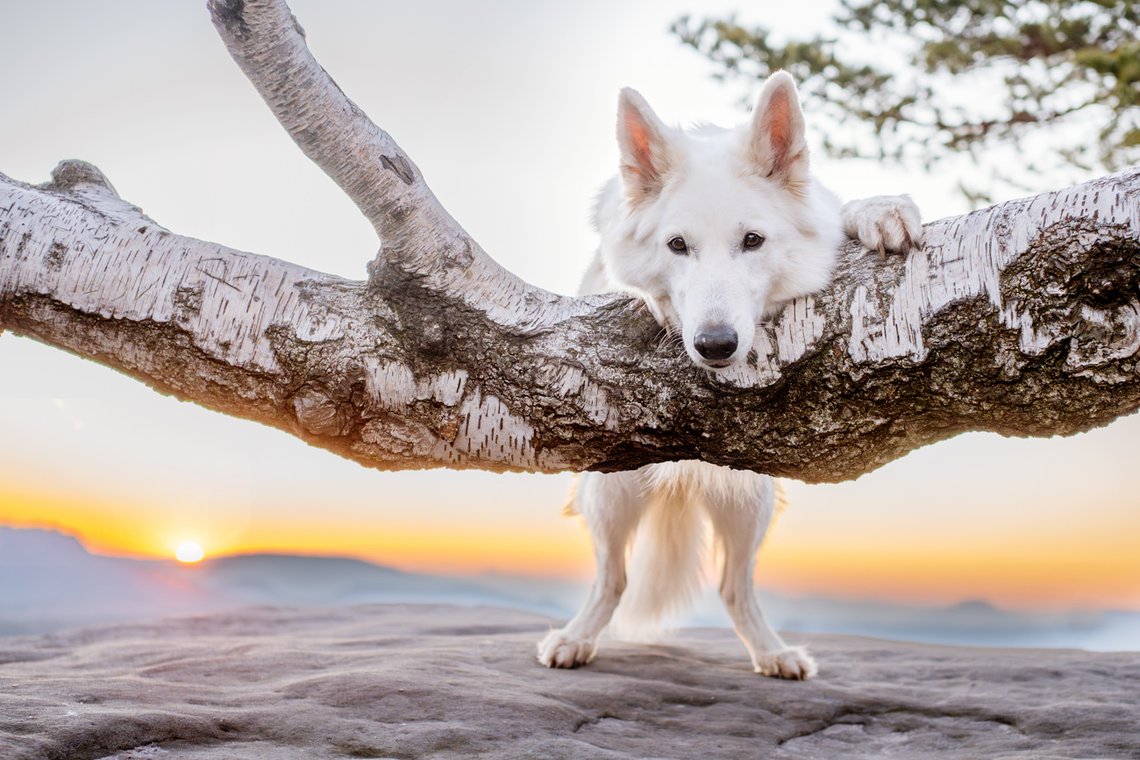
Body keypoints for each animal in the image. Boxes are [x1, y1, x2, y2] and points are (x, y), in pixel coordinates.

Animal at [538, 69, 921, 679]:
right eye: (677, 245)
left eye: (752, 241)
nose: (715, 344)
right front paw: (655, 301)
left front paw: (879, 210)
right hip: (612, 495)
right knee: (613, 579)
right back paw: (577, 638)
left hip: (748, 505)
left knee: (734, 587)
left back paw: (771, 652)